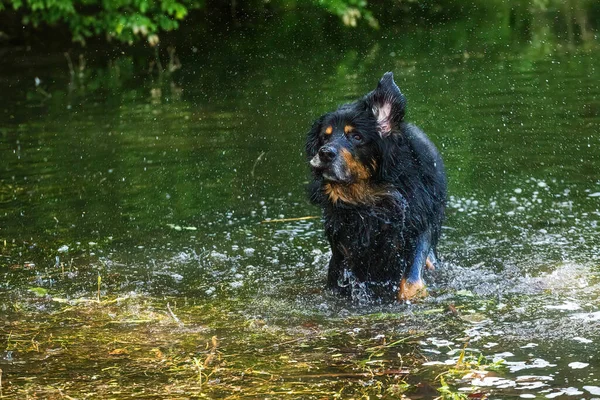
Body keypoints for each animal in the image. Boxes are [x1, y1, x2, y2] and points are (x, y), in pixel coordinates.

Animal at [310, 72, 446, 304]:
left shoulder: (417, 224)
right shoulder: (343, 246)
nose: (325, 153)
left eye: (356, 136)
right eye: (324, 137)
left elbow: (412, 278)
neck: (369, 198)